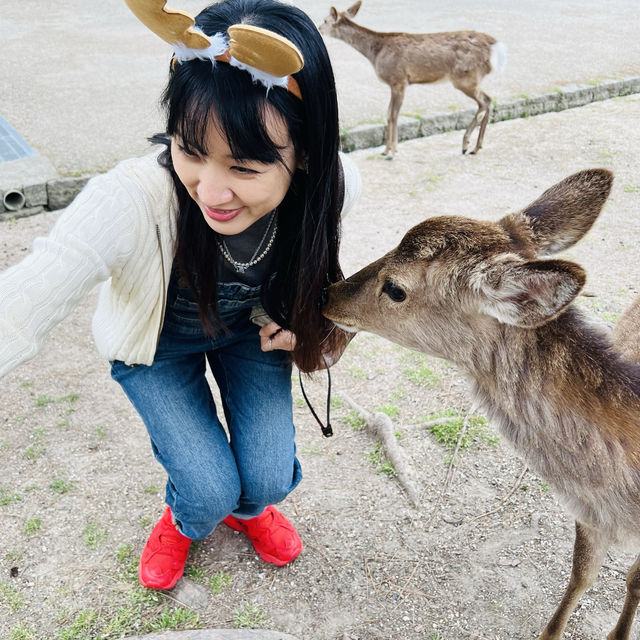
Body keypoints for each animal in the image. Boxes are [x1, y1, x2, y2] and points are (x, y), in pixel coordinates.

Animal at [318, 0, 508, 158]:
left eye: (326, 20)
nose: (319, 28)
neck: (375, 53)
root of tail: (495, 47)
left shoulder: (399, 79)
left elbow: (393, 115)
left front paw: (392, 152)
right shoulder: (396, 83)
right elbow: (389, 113)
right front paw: (387, 150)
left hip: (465, 76)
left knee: (484, 102)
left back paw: (467, 145)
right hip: (471, 78)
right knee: (489, 100)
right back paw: (476, 147)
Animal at [324, 169, 640, 640]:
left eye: (396, 288)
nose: (328, 294)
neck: (624, 505)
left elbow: (631, 578)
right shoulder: (589, 515)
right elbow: (580, 574)